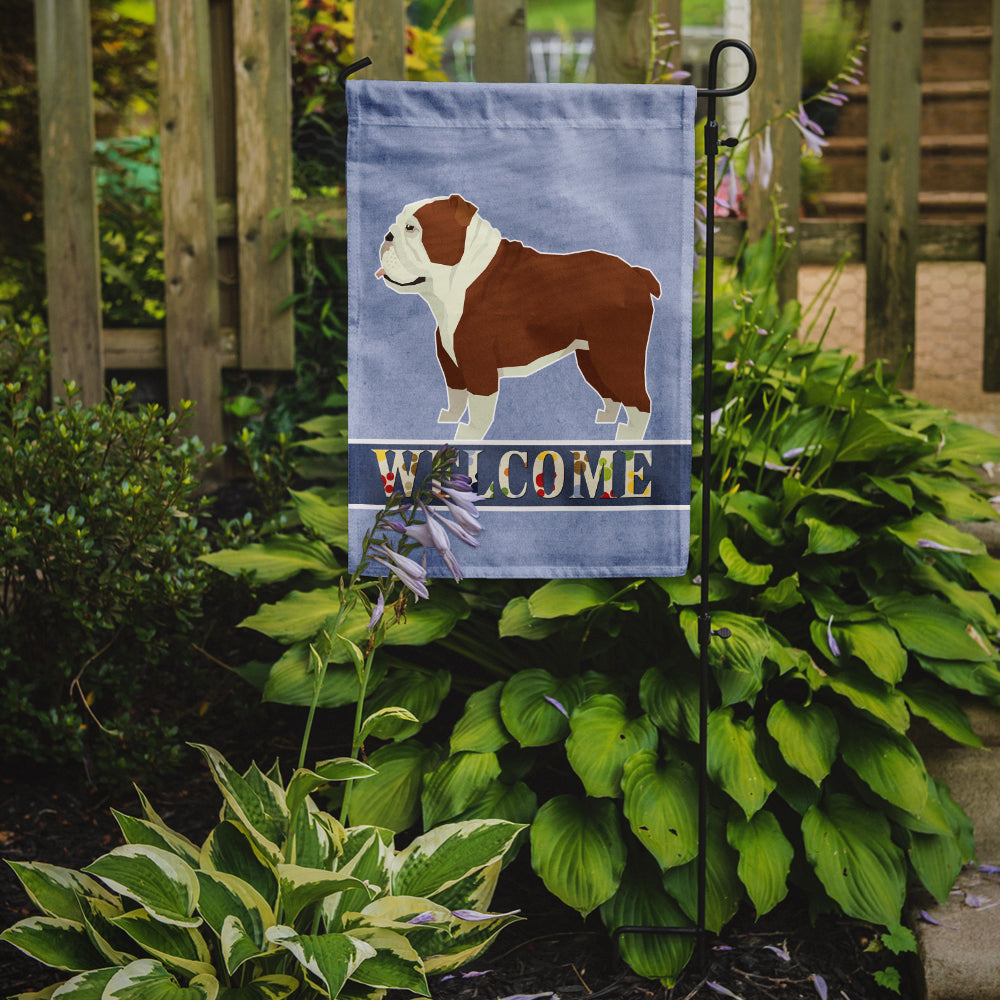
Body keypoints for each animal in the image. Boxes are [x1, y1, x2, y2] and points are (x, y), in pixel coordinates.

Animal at [376, 193, 656, 440]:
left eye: (411, 228)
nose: (387, 235)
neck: (455, 283)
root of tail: (636, 273)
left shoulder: (478, 365)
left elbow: (479, 408)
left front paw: (469, 434)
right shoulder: (451, 364)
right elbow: (456, 396)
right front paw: (448, 420)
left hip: (615, 355)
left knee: (639, 400)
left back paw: (628, 436)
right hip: (591, 357)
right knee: (612, 393)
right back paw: (606, 421)